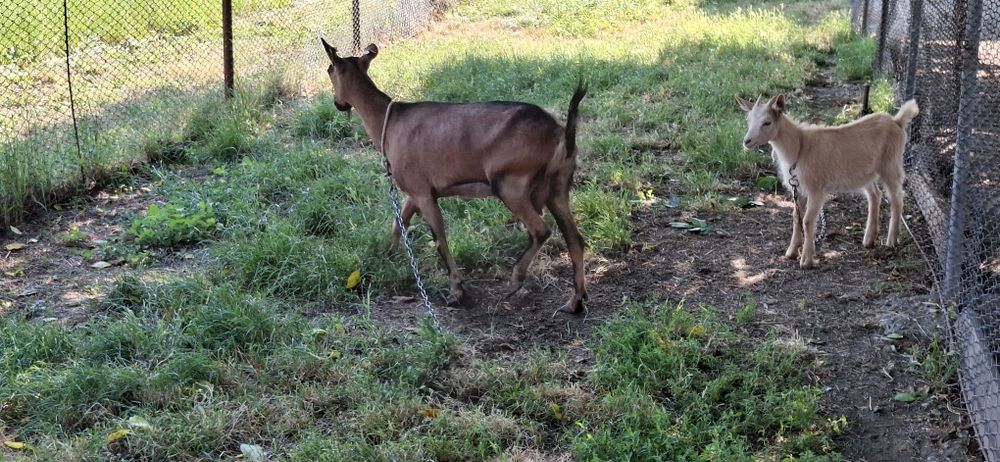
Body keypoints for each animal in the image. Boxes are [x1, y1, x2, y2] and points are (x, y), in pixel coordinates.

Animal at [320, 39, 588, 313]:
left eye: (330, 70)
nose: (338, 104)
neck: (389, 121)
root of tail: (561, 136)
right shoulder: (414, 192)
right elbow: (399, 223)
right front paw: (388, 258)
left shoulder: (423, 193)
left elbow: (439, 239)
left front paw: (457, 290)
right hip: (558, 187)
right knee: (575, 240)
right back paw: (574, 301)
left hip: (511, 184)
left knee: (541, 231)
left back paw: (515, 280)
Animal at [737, 94, 918, 268]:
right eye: (748, 120)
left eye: (767, 122)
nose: (746, 141)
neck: (799, 147)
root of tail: (897, 121)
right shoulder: (799, 189)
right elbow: (796, 218)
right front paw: (791, 252)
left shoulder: (816, 189)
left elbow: (807, 221)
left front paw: (807, 260)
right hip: (864, 173)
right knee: (875, 195)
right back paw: (869, 239)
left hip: (891, 164)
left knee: (897, 198)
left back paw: (891, 240)